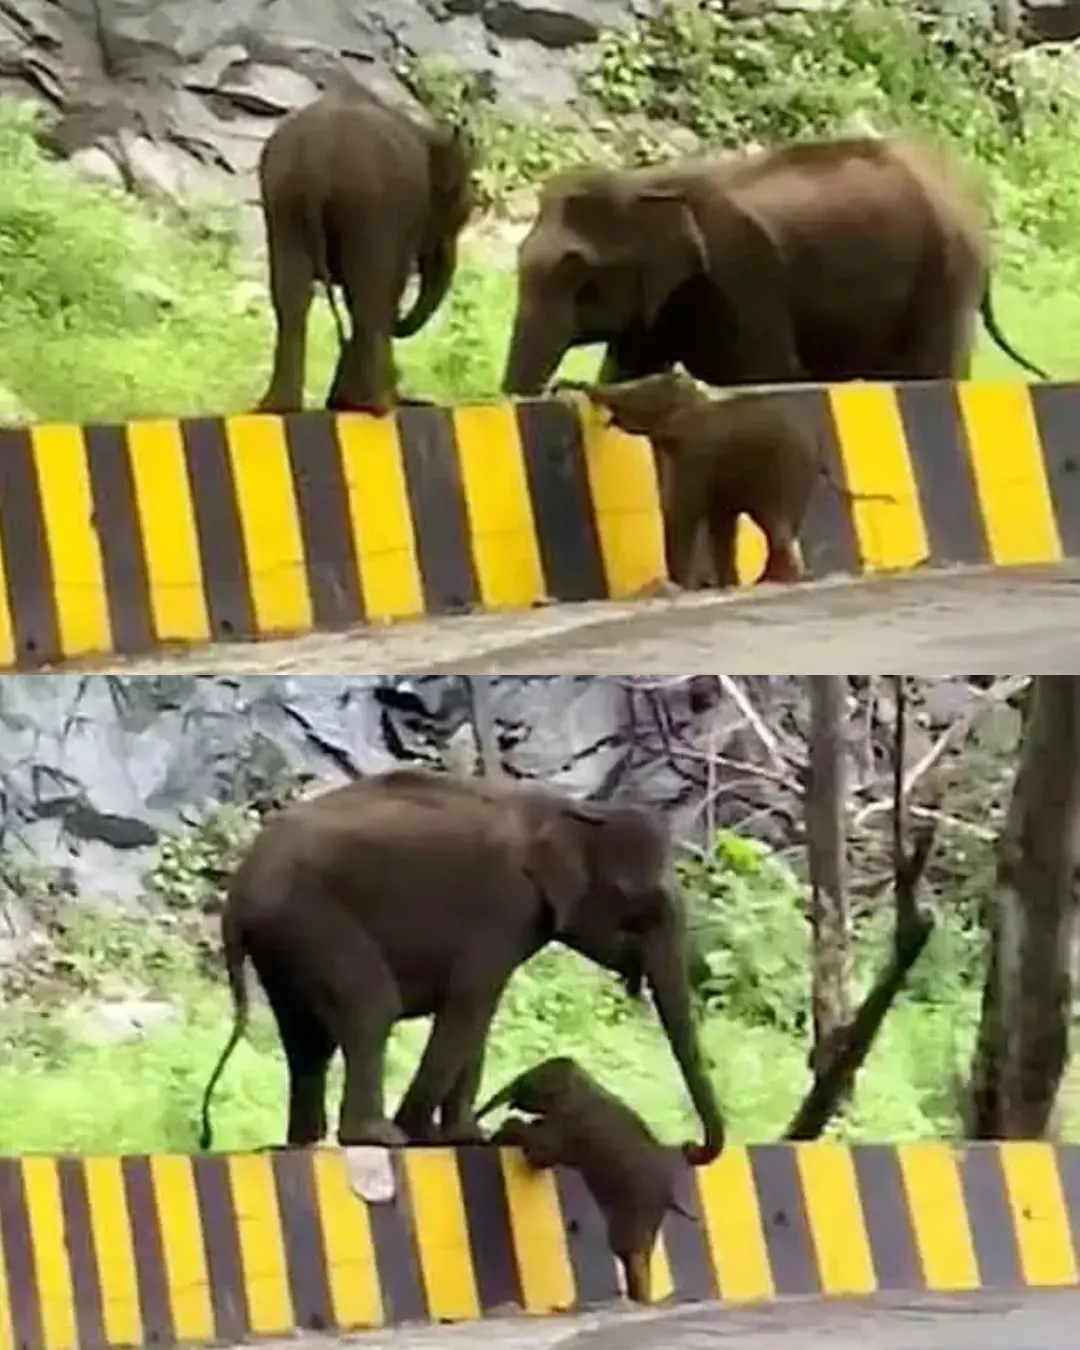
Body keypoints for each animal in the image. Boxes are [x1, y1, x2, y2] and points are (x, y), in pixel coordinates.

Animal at [198, 768, 724, 1163]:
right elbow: (471, 1000)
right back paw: (379, 1136)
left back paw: (304, 1145)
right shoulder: (504, 906)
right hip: (309, 919)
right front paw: (427, 1133)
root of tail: (236, 893)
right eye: (644, 908)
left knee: (308, 1040)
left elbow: (480, 1014)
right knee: (371, 1007)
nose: (689, 1147)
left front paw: (464, 1136)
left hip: (284, 943)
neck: (571, 811)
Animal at [255, 83, 476, 416]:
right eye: (461, 215)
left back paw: (281, 408)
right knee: (368, 294)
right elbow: (390, 286)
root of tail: (315, 159)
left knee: (291, 296)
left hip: (284, 204)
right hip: (366, 205)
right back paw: (378, 405)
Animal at [476, 1056, 697, 1304]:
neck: (585, 1081)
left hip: (637, 1204)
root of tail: (670, 1197)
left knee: (627, 1247)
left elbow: (541, 1153)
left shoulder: (572, 1124)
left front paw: (507, 1129)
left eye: (529, 1080)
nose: (478, 1116)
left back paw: (636, 1300)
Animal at [501, 134, 1048, 397]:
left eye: (577, 273)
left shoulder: (740, 276)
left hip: (945, 273)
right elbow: (626, 371)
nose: (553, 388)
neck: (648, 183)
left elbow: (772, 375)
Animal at [560, 370, 893, 589]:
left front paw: (680, 588)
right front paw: (723, 585)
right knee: (780, 526)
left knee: (774, 523)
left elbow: (684, 512)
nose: (563, 386)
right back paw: (773, 579)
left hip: (784, 471)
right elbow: (721, 524)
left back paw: (775, 580)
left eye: (642, 393)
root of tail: (818, 448)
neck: (699, 397)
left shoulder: (698, 455)